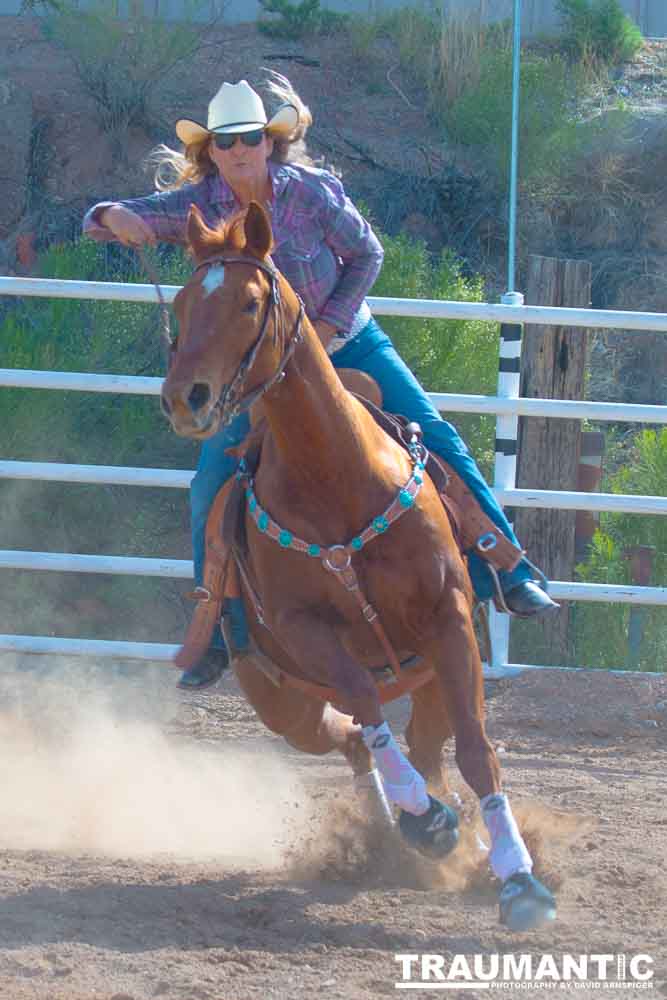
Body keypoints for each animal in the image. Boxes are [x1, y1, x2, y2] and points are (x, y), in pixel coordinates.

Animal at [159, 201, 556, 928]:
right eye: (180, 303)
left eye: (249, 302)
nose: (185, 398)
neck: (336, 476)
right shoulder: (307, 630)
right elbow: (367, 707)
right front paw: (427, 822)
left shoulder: (449, 620)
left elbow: (477, 750)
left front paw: (520, 881)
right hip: (283, 704)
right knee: (352, 738)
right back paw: (405, 825)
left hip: (427, 677)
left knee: (425, 746)